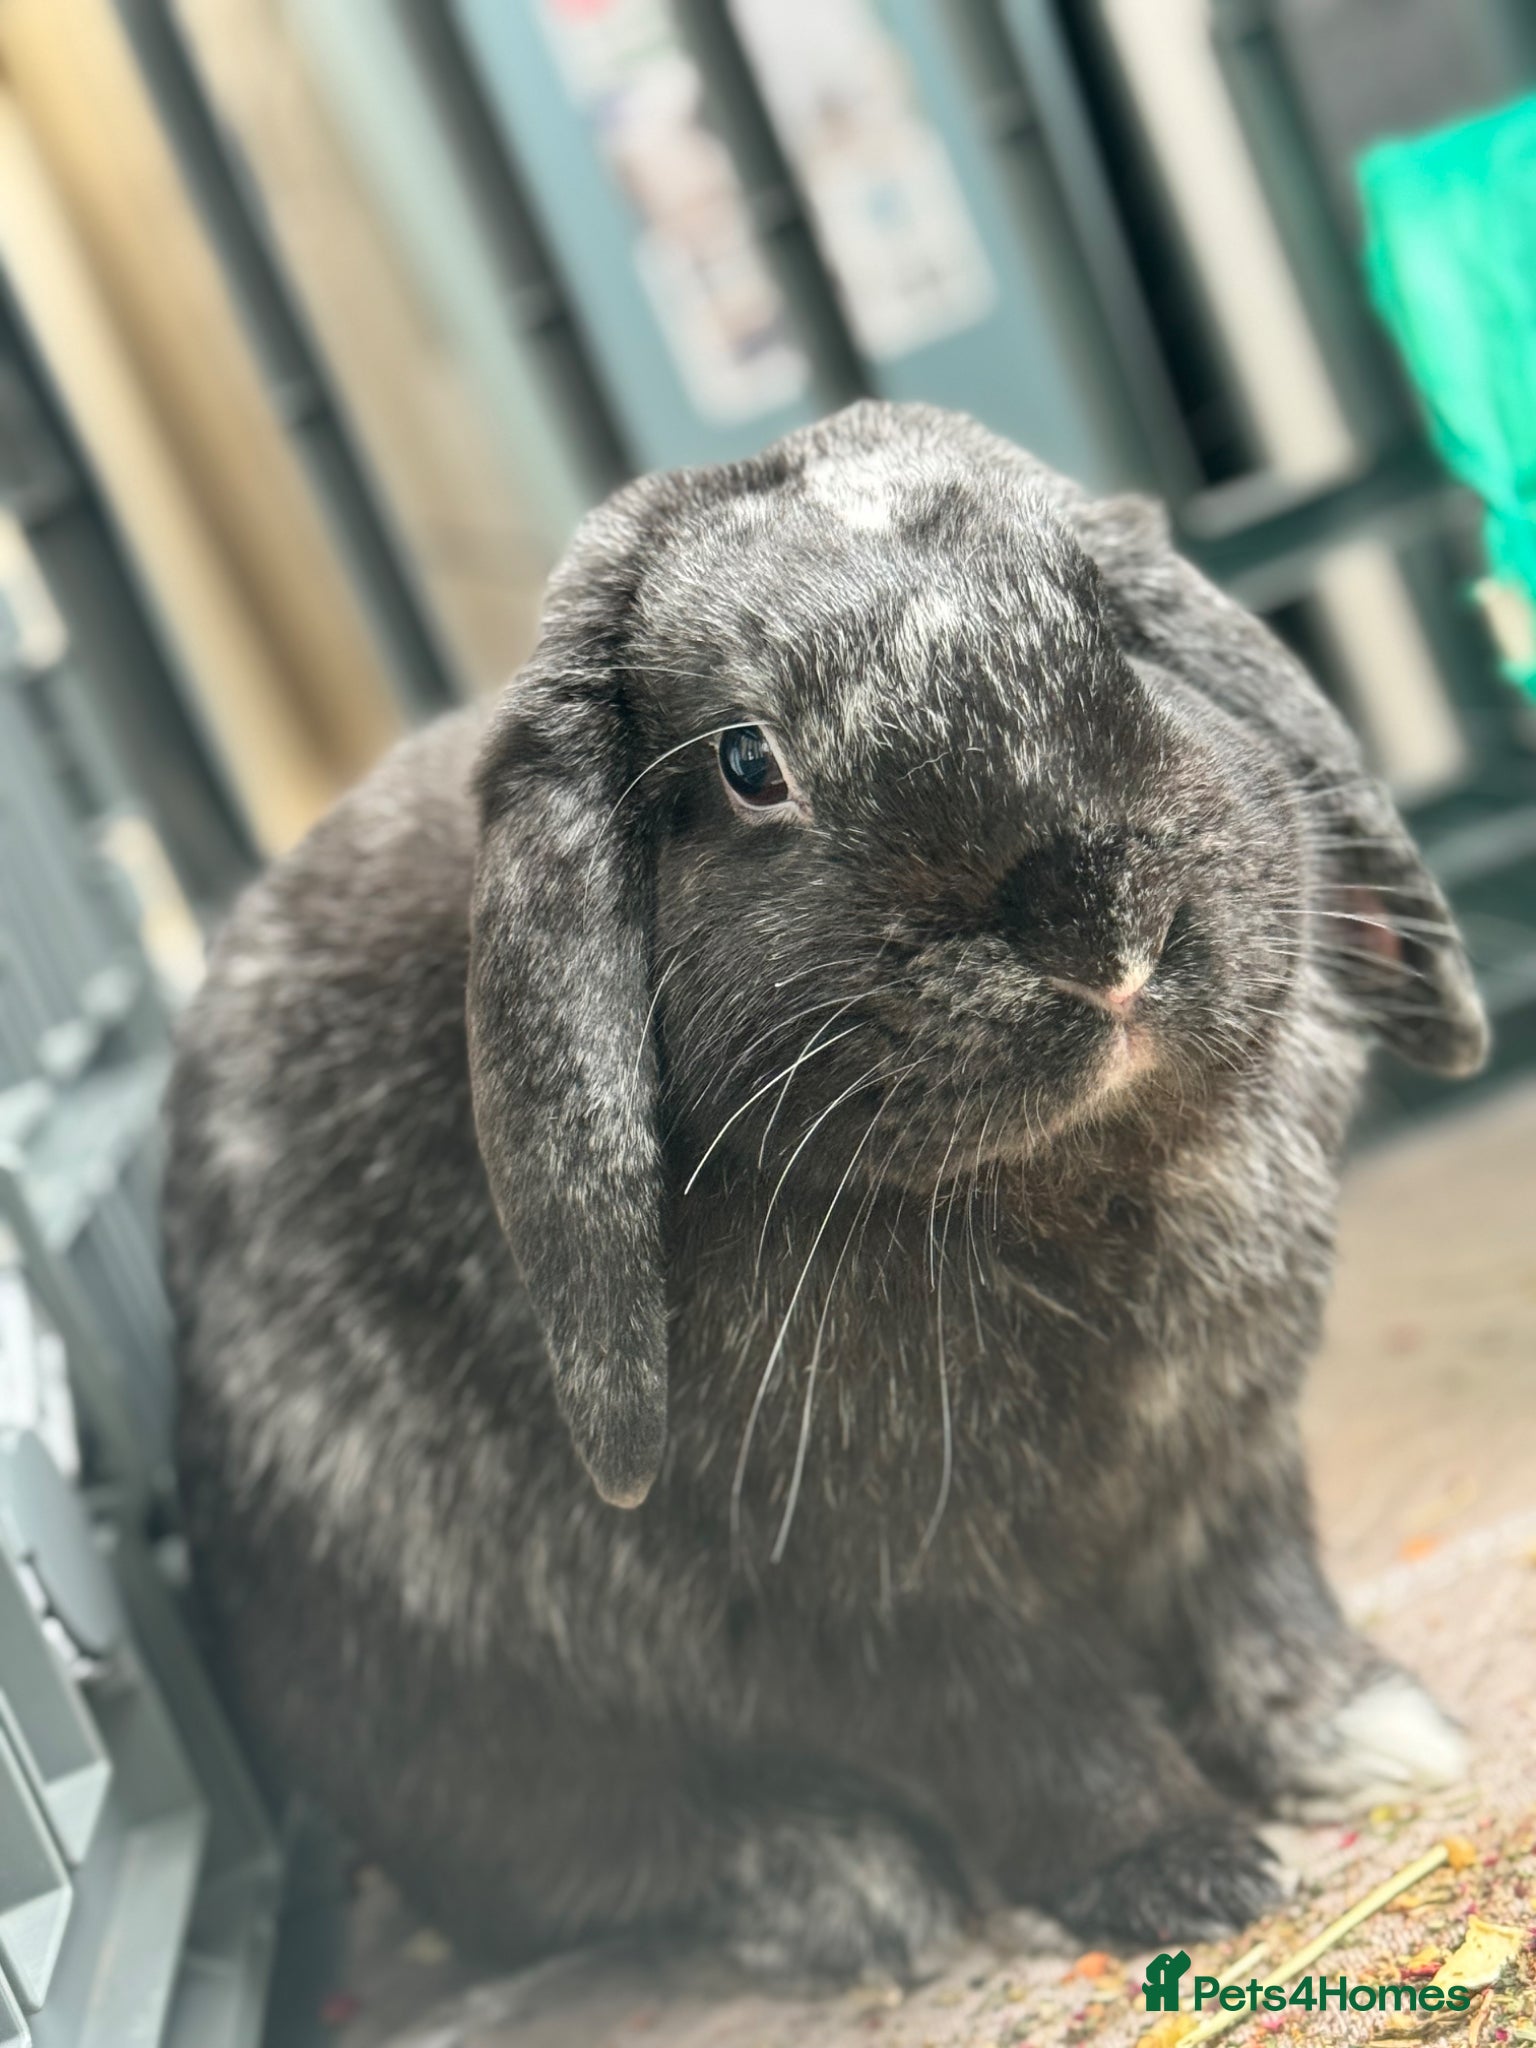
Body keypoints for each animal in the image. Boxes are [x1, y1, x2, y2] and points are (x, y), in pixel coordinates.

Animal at [163, 401, 1488, 1981]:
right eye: (749, 763)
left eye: (1105, 625)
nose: (1097, 927)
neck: (1060, 1187)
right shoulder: (876, 1598)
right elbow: (1036, 1733)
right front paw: (1193, 1868)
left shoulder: (1226, 1467)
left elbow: (1261, 1605)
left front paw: (1375, 1735)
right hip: (476, 1739)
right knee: (585, 1866)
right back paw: (848, 1884)